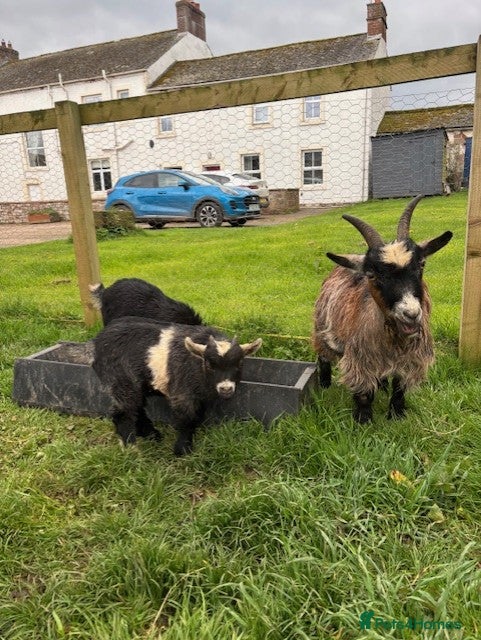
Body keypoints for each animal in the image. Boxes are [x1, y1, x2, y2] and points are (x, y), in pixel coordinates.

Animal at [92, 319, 262, 455]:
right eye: (209, 364)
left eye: (240, 363)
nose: (225, 388)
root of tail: (97, 342)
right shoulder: (182, 393)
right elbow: (187, 419)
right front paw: (183, 449)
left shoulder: (200, 397)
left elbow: (197, 417)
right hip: (121, 380)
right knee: (122, 412)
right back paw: (131, 448)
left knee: (137, 407)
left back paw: (151, 435)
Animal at [312, 195, 452, 423]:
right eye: (372, 274)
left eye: (421, 264)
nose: (411, 314)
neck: (393, 339)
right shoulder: (360, 358)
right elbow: (363, 393)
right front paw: (363, 421)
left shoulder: (410, 358)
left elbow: (399, 387)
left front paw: (396, 415)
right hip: (320, 329)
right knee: (323, 356)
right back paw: (324, 385)